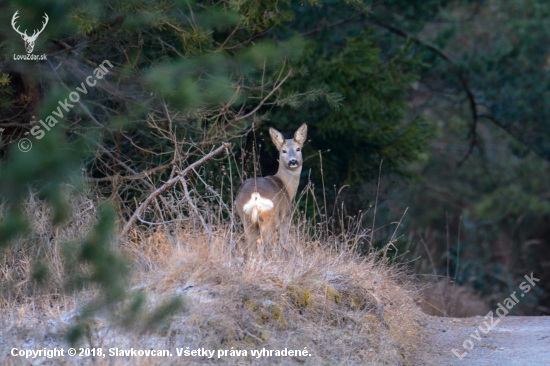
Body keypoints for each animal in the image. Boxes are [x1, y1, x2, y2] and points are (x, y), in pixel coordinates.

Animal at [236, 123, 308, 254]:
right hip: (270, 216)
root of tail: (255, 195)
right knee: (265, 245)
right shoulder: (286, 216)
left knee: (250, 246)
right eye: (283, 150)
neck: (286, 186)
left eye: (298, 149)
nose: (293, 161)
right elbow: (285, 242)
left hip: (245, 217)